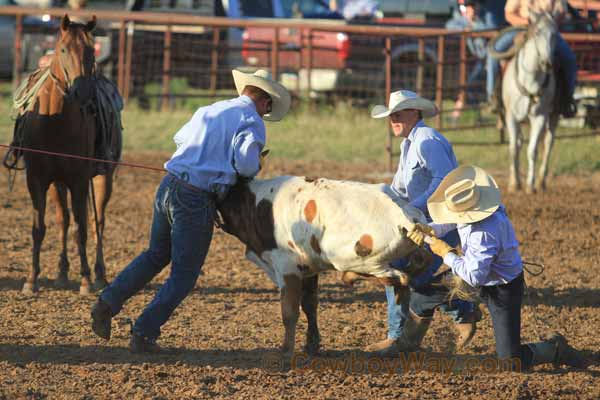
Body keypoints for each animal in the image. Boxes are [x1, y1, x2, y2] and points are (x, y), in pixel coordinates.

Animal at [18, 14, 119, 294]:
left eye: (90, 51)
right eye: (63, 49)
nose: (81, 92)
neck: (56, 122)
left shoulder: (79, 180)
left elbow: (81, 229)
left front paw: (85, 280)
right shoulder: (37, 180)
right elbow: (39, 228)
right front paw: (31, 280)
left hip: (103, 177)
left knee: (97, 222)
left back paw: (99, 275)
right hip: (57, 184)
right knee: (62, 219)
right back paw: (62, 273)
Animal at [500, 11, 560, 193]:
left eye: (555, 34)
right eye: (537, 32)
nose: (547, 63)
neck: (530, 80)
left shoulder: (539, 117)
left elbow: (532, 151)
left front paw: (530, 185)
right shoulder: (511, 117)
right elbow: (513, 148)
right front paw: (514, 184)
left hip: (553, 117)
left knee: (548, 144)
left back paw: (541, 182)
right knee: (519, 143)